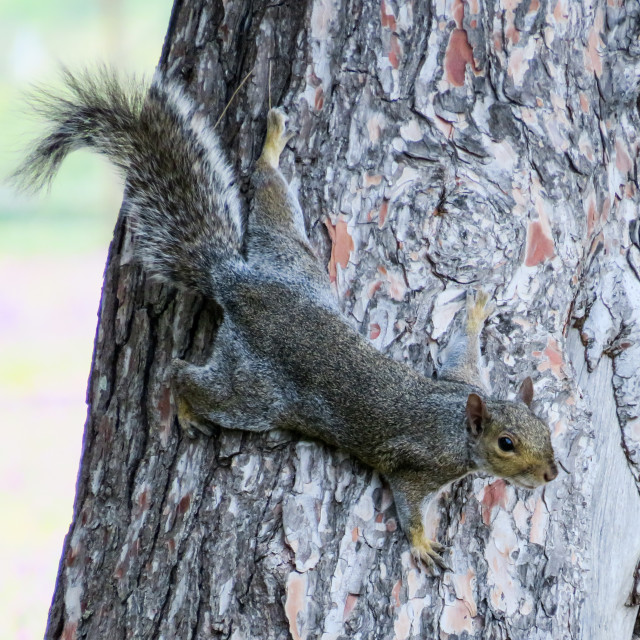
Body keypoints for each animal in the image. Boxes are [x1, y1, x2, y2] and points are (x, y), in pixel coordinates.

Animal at [12, 69, 556, 568]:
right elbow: (408, 505)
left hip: (293, 259)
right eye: (506, 444)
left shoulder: (464, 380)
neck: (456, 424)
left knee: (272, 199)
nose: (552, 474)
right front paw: (422, 545)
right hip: (254, 392)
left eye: (545, 427)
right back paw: (185, 408)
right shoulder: (418, 467)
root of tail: (234, 280)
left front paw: (477, 309)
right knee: (185, 374)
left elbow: (460, 352)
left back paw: (272, 148)